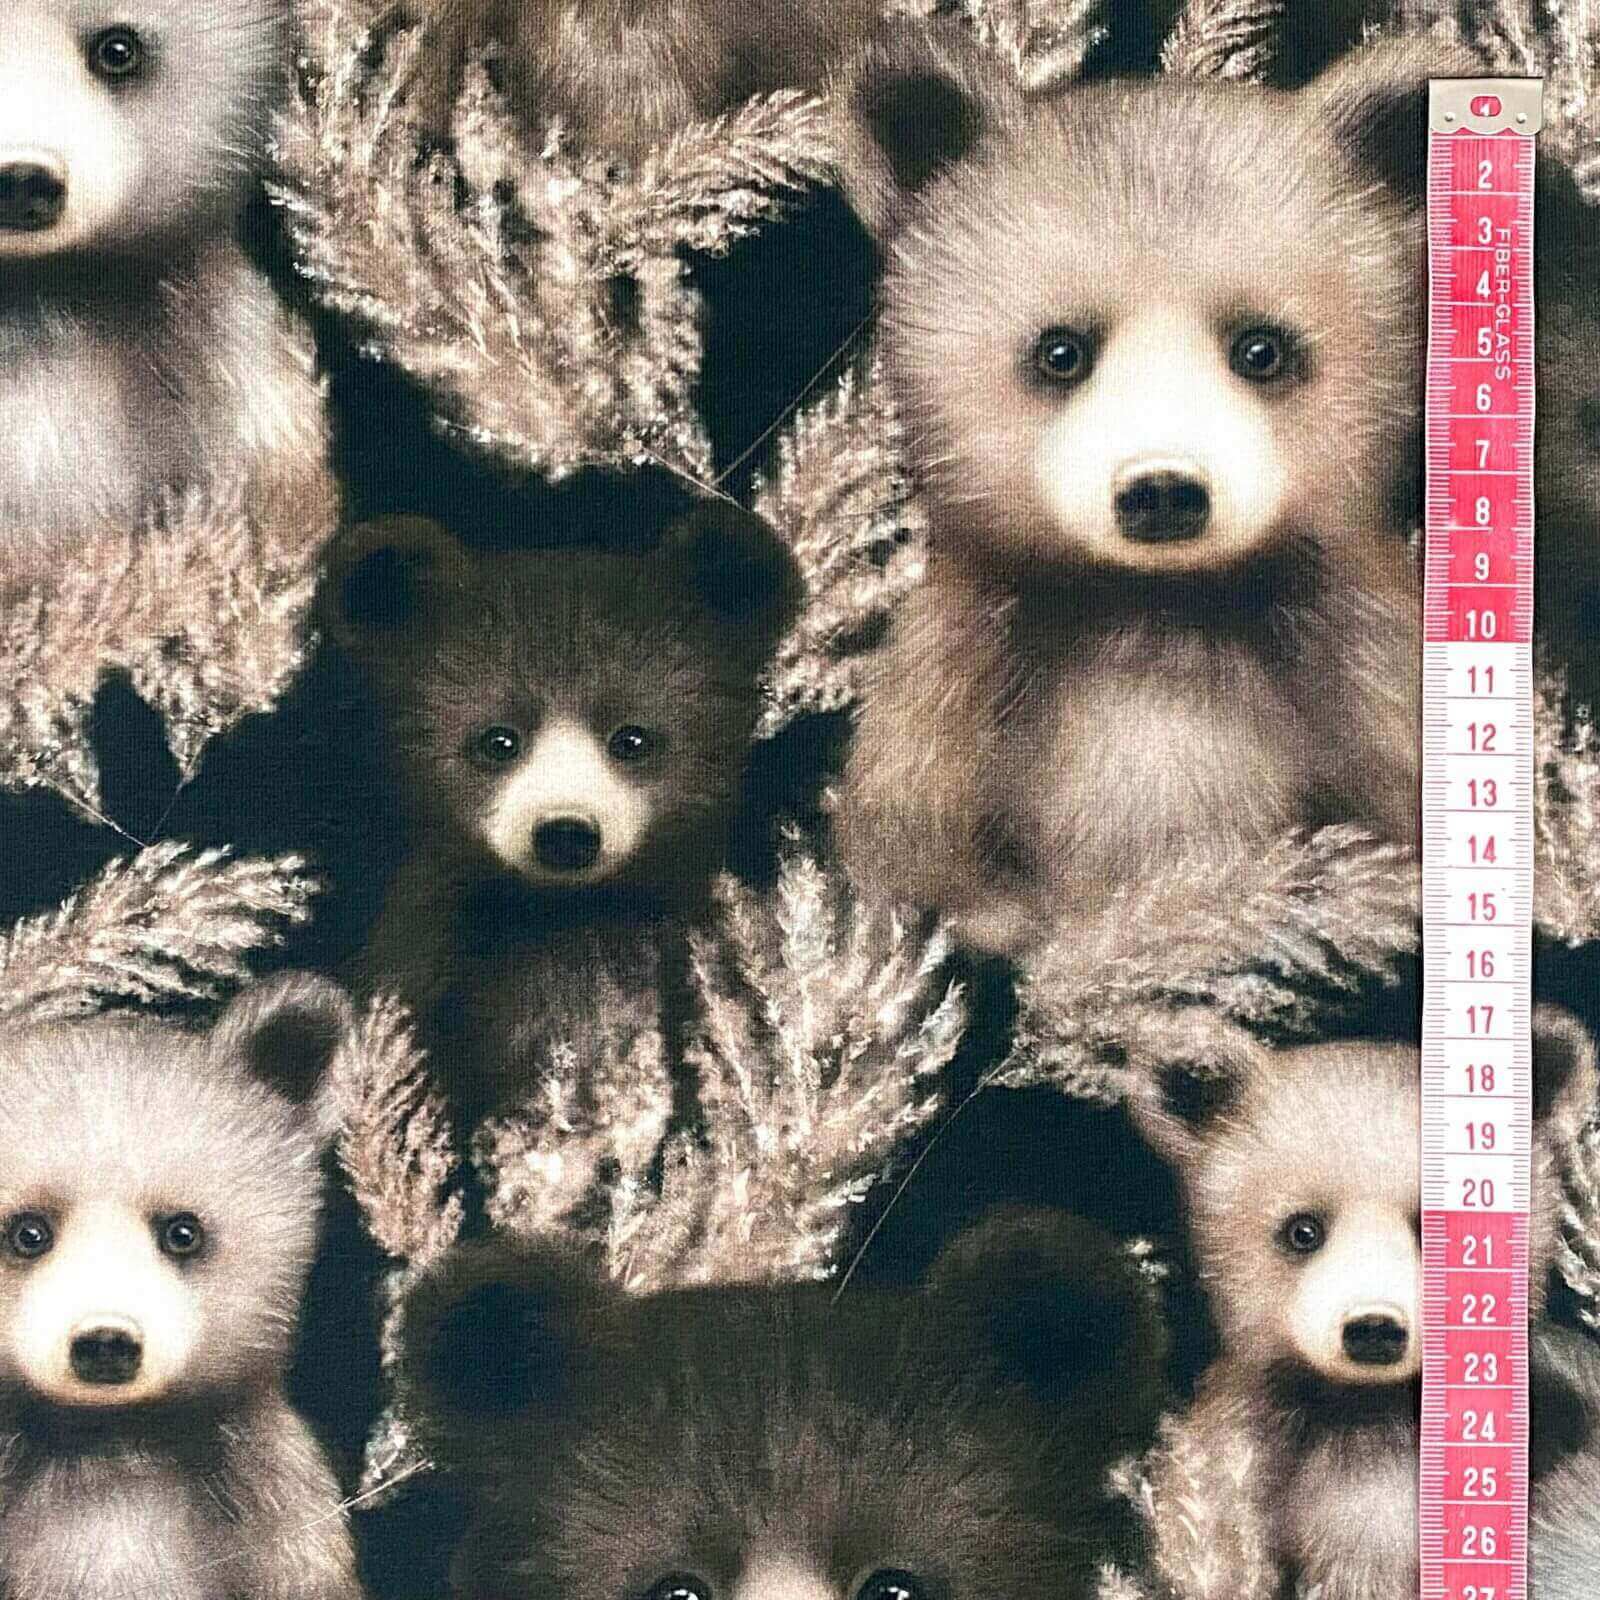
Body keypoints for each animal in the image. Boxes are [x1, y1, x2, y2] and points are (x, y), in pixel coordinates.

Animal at [829, 27, 1449, 950]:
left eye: (1261, 349)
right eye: (1061, 351)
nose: (1162, 490)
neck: (1158, 611)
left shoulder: (1361, 662)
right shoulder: (954, 690)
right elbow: (912, 849)